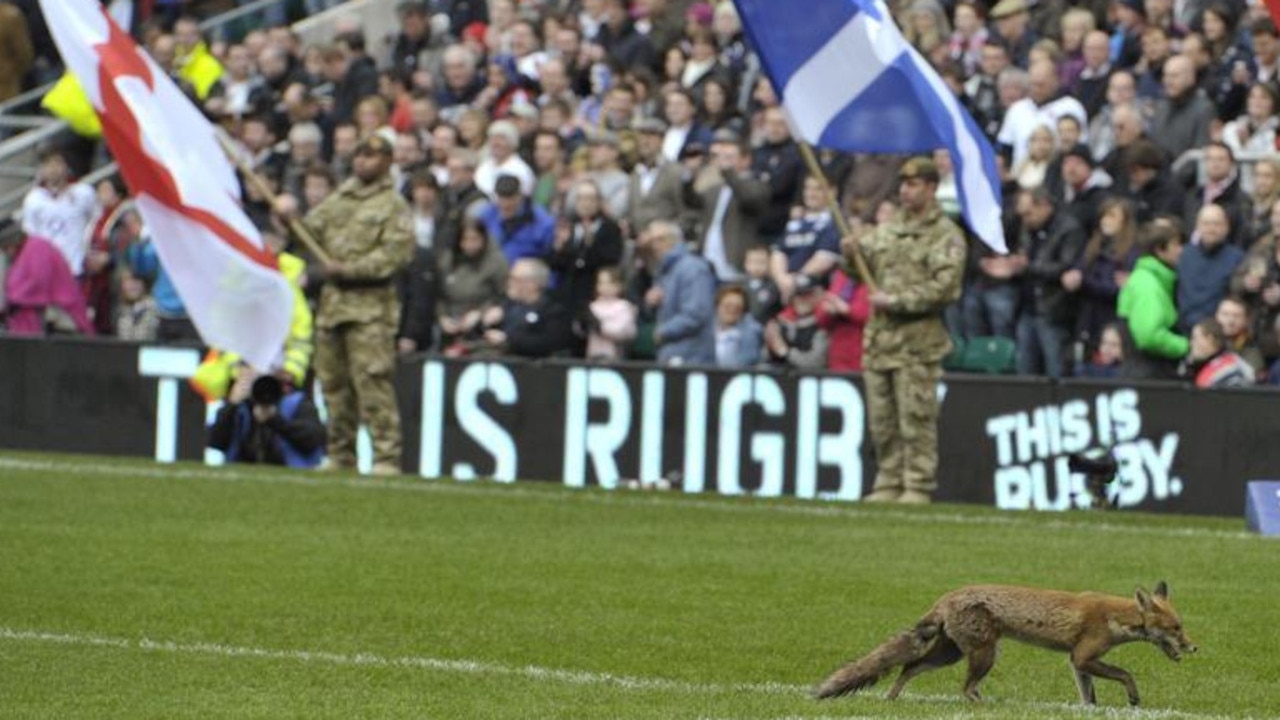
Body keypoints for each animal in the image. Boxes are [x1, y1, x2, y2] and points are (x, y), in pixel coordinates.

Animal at [814, 576, 1192, 702]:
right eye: (1176, 628)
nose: (1193, 646)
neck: (1115, 617)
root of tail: (946, 597)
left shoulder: (1077, 663)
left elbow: (1090, 699)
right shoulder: (1084, 656)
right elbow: (1126, 674)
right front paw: (1133, 697)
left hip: (949, 655)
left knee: (909, 667)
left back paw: (891, 700)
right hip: (984, 654)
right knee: (965, 689)